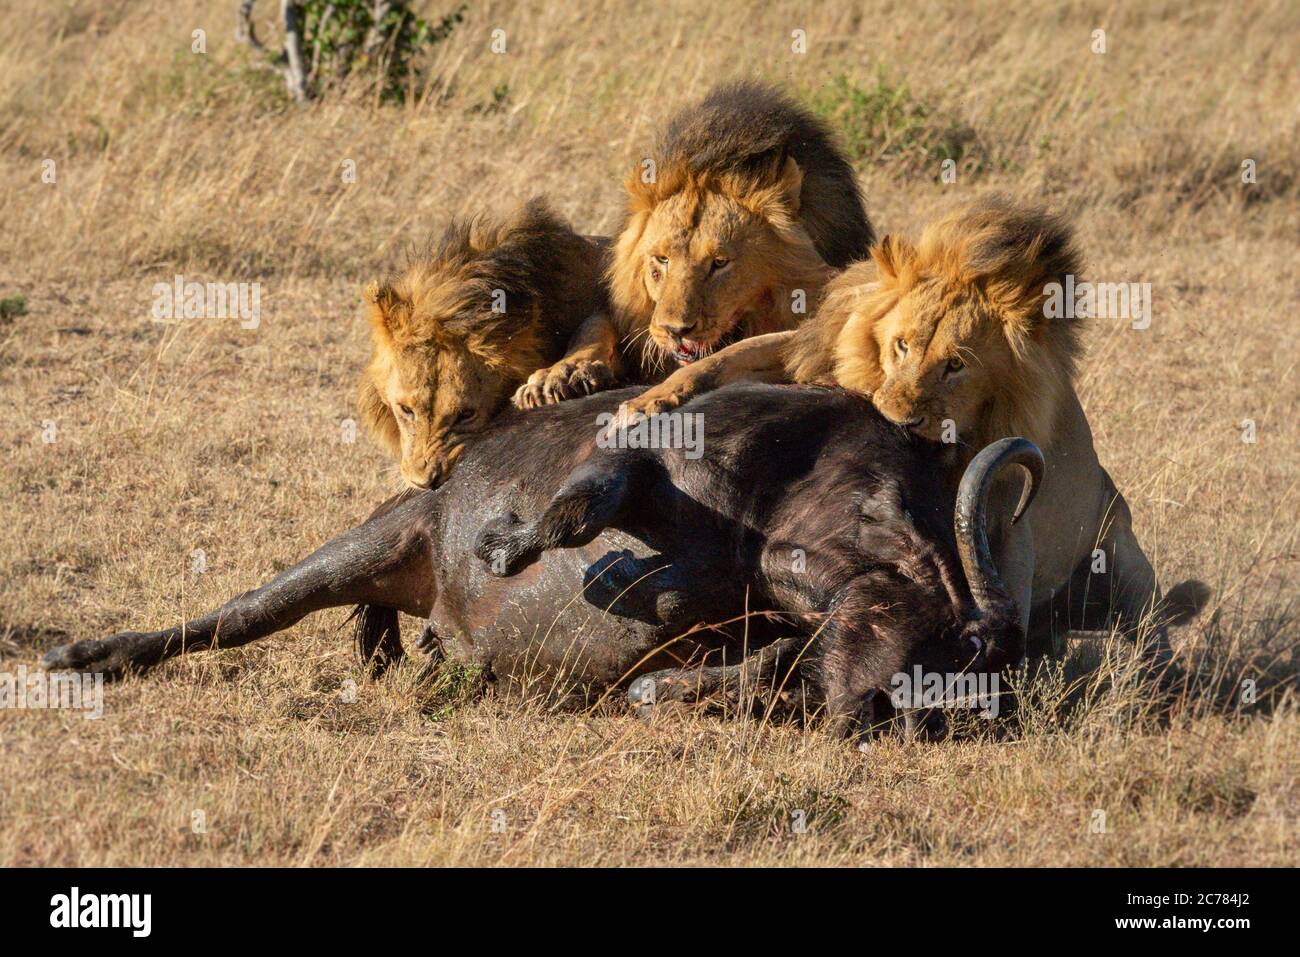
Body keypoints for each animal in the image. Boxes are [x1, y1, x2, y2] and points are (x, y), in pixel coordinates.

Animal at [40, 384, 1040, 738]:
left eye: (951, 671)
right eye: (918, 626)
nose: (876, 713)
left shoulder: (785, 638)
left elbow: (731, 662)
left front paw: (666, 679)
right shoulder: (645, 451)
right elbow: (576, 510)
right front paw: (507, 544)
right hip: (369, 542)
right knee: (237, 612)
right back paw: (85, 654)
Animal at [509, 82, 873, 408]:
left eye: (720, 263)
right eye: (661, 260)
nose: (675, 331)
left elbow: (734, 352)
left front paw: (651, 399)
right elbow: (596, 325)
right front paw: (560, 374)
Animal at [613, 195, 1201, 657]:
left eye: (956, 365)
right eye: (901, 345)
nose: (896, 417)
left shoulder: (1009, 518)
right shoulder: (812, 349)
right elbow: (725, 357)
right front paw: (647, 405)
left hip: (1124, 559)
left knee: (1147, 633)